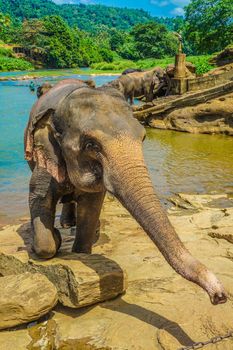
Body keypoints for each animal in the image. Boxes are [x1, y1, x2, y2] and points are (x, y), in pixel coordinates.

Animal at [24, 79, 228, 306]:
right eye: (91, 144)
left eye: (144, 137)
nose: (220, 297)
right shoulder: (45, 156)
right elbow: (39, 201)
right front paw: (55, 237)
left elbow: (91, 205)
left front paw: (81, 251)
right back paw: (66, 225)